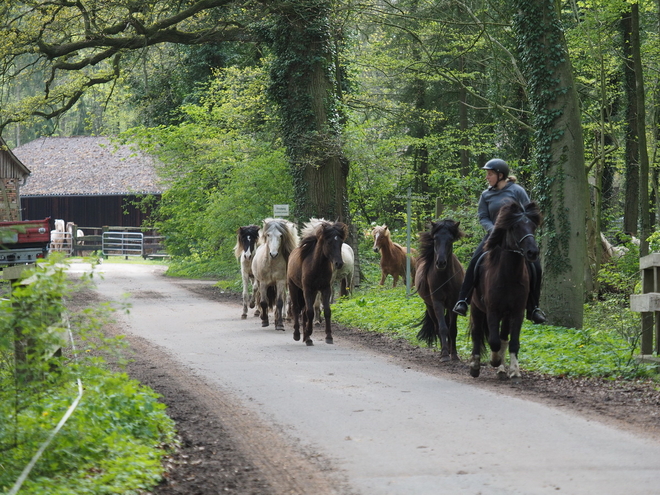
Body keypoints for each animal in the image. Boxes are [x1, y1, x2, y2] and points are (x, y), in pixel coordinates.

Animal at [416, 221, 466, 364]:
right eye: (435, 239)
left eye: (450, 240)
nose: (441, 262)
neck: (445, 278)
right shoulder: (437, 302)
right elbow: (442, 328)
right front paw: (444, 355)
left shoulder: (453, 303)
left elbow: (452, 329)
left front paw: (454, 355)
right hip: (430, 306)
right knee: (437, 327)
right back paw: (443, 351)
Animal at [464, 202, 540, 384]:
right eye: (515, 227)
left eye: (533, 226)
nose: (533, 252)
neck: (509, 275)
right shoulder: (492, 311)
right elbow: (493, 341)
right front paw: (494, 360)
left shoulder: (517, 312)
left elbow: (512, 342)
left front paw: (514, 371)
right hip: (477, 309)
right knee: (477, 334)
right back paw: (476, 366)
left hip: (506, 315)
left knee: (504, 337)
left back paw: (502, 370)